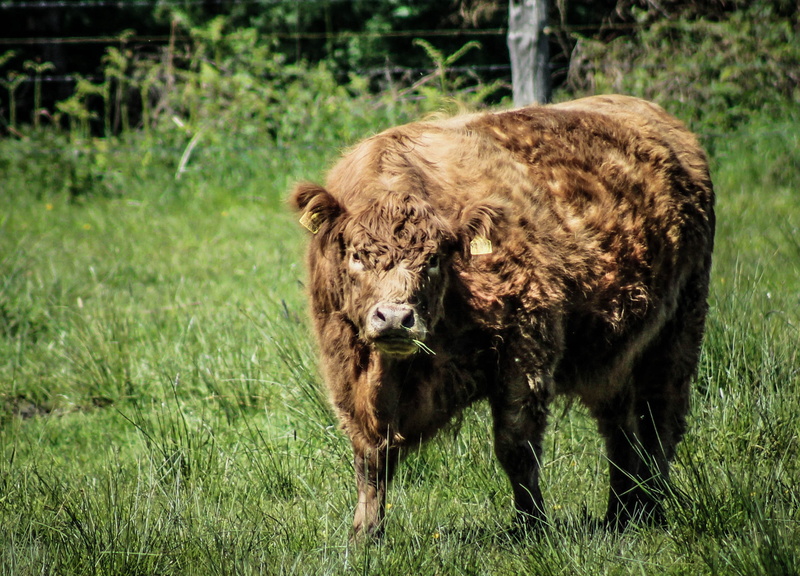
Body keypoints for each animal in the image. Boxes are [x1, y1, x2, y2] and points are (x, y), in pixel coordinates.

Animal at [290, 95, 715, 539]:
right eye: (357, 255)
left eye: (434, 260)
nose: (393, 318)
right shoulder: (347, 372)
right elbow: (371, 459)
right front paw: (366, 535)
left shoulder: (525, 349)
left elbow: (516, 448)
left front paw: (532, 526)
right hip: (614, 355)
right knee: (620, 428)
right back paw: (623, 513)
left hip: (678, 330)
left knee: (659, 421)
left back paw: (652, 508)